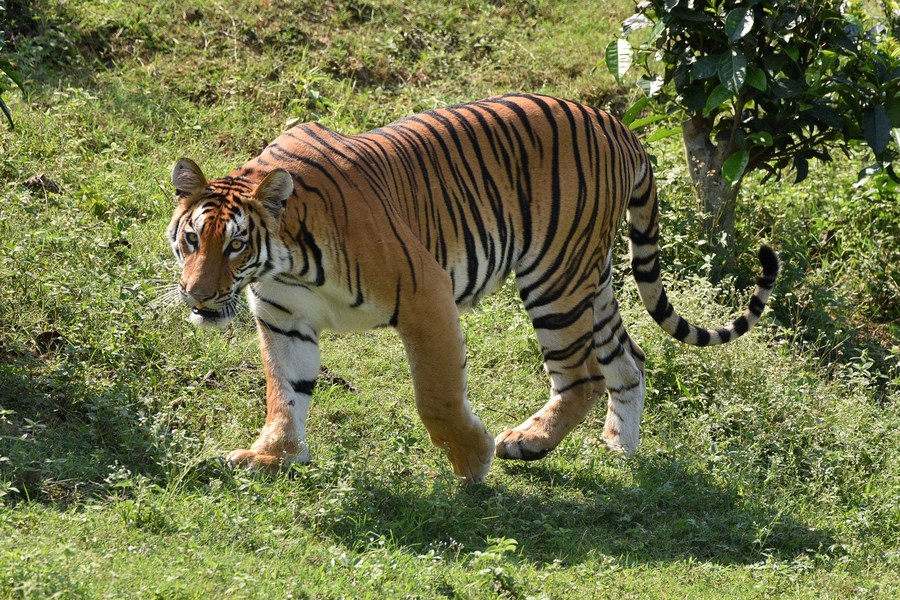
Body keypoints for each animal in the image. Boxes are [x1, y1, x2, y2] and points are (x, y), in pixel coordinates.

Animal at [167, 96, 780, 486]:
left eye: (236, 246)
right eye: (192, 239)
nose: (197, 296)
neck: (284, 261)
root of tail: (617, 124)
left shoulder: (425, 294)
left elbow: (436, 397)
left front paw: (473, 462)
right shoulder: (283, 318)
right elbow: (284, 394)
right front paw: (271, 458)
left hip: (555, 280)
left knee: (582, 374)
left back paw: (527, 442)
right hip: (593, 279)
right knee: (629, 361)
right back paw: (616, 450)